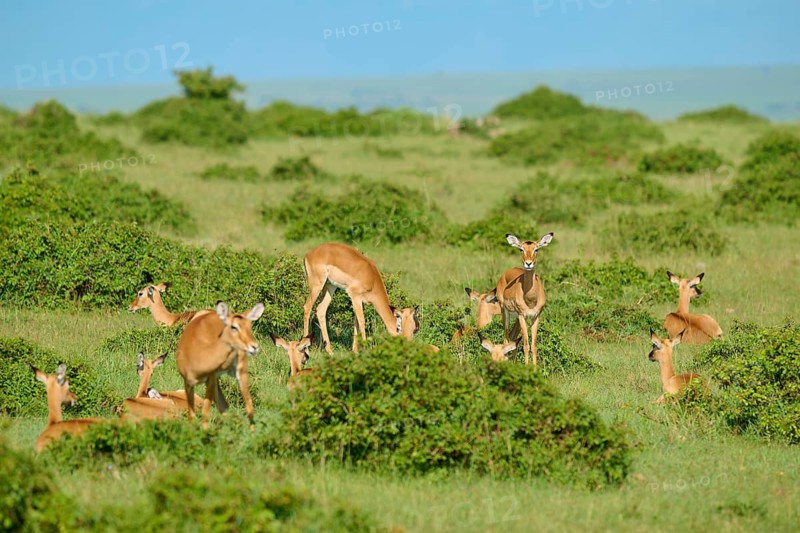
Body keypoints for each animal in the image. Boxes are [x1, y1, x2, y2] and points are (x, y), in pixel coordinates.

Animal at [176, 301, 265, 430]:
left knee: (249, 404)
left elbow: (205, 412)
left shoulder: (211, 379)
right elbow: (191, 414)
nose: (254, 346)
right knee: (225, 406)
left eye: (250, 326)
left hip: (241, 372)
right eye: (234, 326)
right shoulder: (188, 382)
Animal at [495, 233, 553, 365]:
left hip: (517, 319)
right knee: (506, 339)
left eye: (536, 249)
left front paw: (534, 367)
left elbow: (533, 345)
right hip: (505, 313)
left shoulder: (535, 317)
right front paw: (527, 366)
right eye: (521, 249)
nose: (528, 263)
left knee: (512, 338)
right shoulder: (522, 316)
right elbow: (526, 344)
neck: (531, 299)